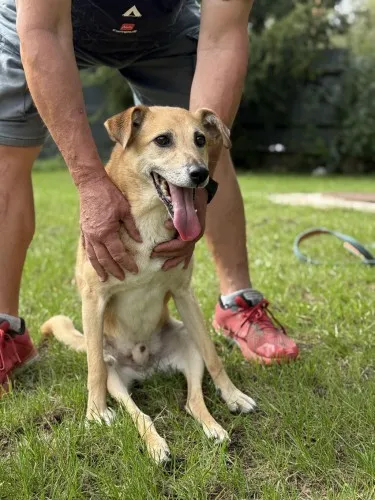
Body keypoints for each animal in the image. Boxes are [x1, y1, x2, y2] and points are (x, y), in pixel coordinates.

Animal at [42, 106, 258, 464]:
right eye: (162, 140)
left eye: (200, 139)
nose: (200, 174)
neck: (149, 218)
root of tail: (146, 368)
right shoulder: (93, 300)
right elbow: (93, 371)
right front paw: (94, 413)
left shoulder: (184, 294)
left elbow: (214, 355)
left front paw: (233, 394)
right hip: (113, 369)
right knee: (135, 410)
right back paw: (156, 446)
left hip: (188, 344)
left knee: (192, 401)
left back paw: (214, 429)